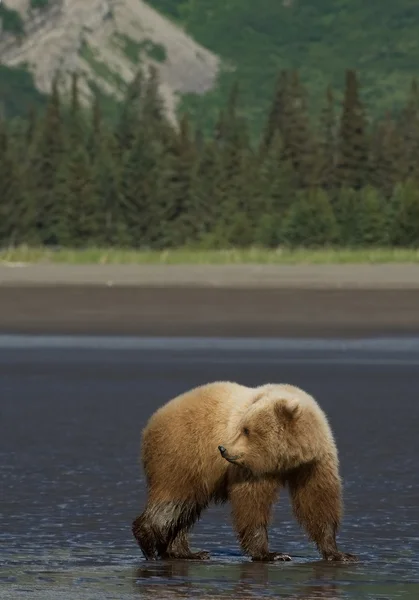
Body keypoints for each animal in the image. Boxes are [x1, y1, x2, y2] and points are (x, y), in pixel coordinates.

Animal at [131, 380, 358, 564]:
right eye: (242, 427)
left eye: (247, 430)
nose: (223, 448)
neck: (289, 456)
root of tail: (153, 419)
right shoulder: (250, 467)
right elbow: (251, 502)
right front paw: (272, 554)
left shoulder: (314, 464)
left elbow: (317, 501)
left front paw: (339, 553)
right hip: (183, 454)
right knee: (175, 500)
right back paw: (149, 542)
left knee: (186, 508)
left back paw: (186, 552)